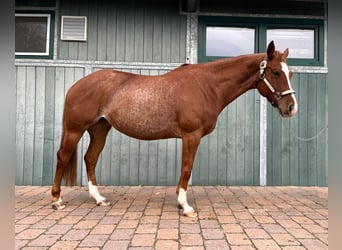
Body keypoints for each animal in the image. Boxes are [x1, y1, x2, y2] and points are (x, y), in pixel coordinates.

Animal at [51, 41, 296, 217]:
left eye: (290, 73)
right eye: (275, 72)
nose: (291, 107)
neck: (206, 85)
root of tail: (76, 85)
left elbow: (185, 170)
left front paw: (180, 201)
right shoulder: (191, 135)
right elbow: (186, 168)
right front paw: (185, 206)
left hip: (100, 129)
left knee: (90, 159)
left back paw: (99, 199)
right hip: (75, 130)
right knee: (63, 157)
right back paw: (56, 200)